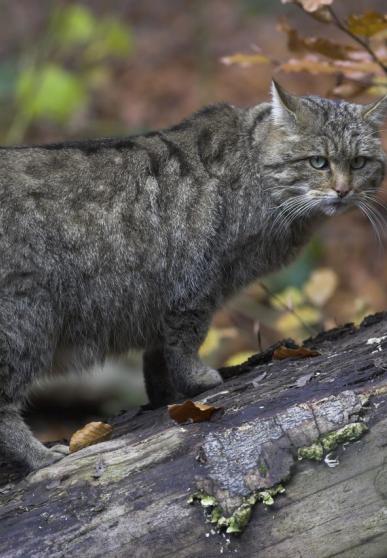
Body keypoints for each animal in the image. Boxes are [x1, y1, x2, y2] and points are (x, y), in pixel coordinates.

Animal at [0, 81, 386, 470]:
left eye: (359, 162)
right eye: (318, 162)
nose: (343, 190)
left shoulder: (163, 299)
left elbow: (157, 356)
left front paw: (166, 395)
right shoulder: (196, 287)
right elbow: (186, 340)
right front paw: (197, 381)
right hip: (25, 322)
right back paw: (39, 456)